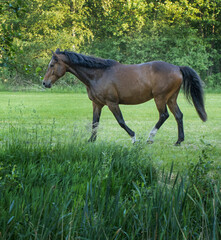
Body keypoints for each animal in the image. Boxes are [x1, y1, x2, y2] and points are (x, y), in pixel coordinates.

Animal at [42, 48, 207, 144]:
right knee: (178, 116)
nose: (45, 83)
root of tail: (177, 68)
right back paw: (179, 141)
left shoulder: (112, 103)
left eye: (52, 65)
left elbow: (120, 121)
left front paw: (133, 137)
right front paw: (91, 140)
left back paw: (150, 137)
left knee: (164, 115)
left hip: (160, 98)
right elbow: (95, 122)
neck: (98, 74)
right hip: (171, 99)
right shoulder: (97, 104)